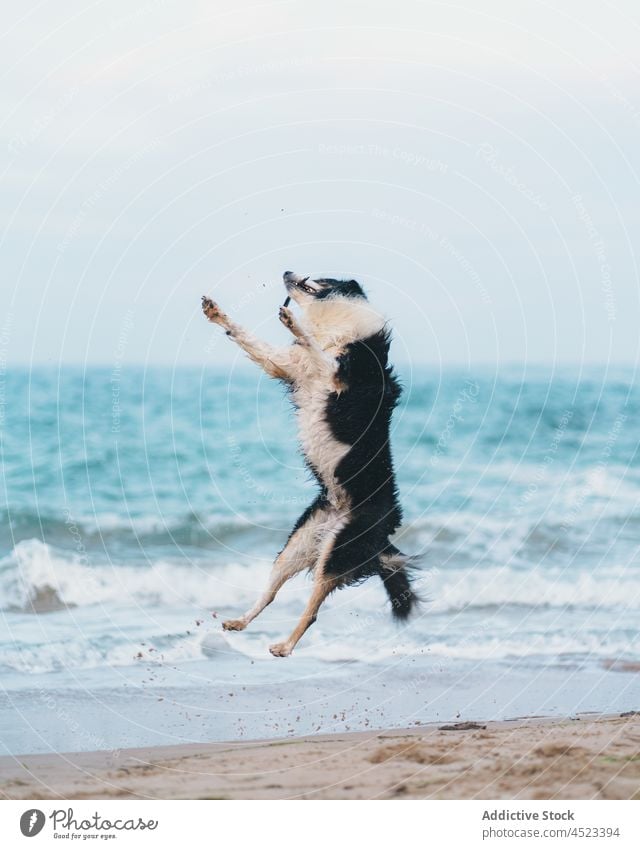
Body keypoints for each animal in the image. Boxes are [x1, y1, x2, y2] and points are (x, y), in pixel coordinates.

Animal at [202, 272, 418, 656]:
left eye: (321, 278)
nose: (287, 272)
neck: (336, 324)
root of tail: (386, 531)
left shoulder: (336, 376)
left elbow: (315, 348)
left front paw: (293, 322)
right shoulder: (287, 366)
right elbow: (248, 337)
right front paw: (216, 313)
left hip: (338, 552)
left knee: (312, 611)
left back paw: (284, 646)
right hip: (298, 544)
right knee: (271, 593)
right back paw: (240, 622)